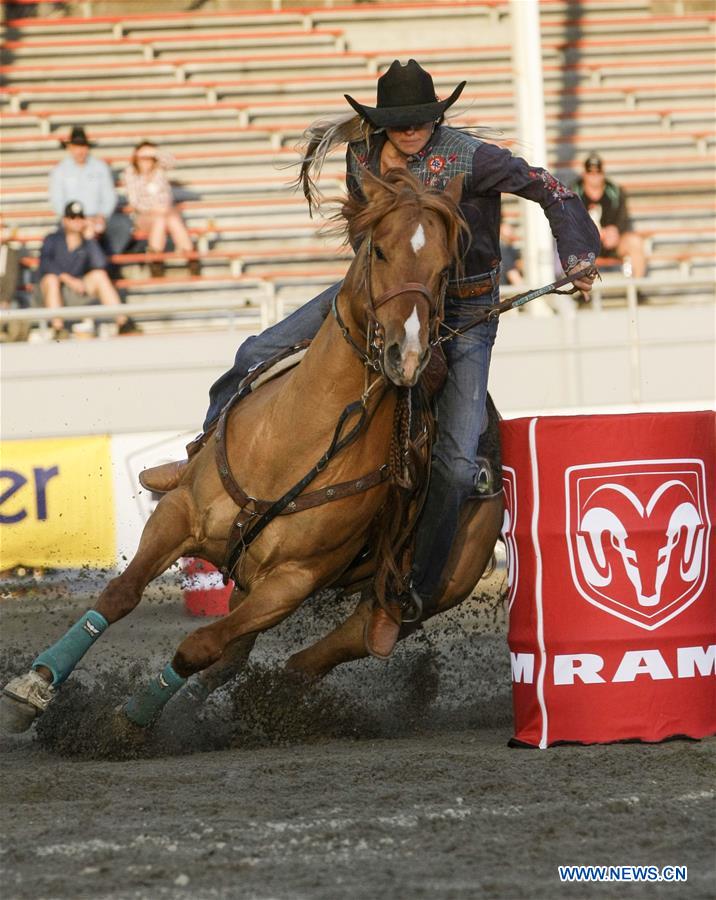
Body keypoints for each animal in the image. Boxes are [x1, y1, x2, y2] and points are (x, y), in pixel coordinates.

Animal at [1, 172, 504, 736]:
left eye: (444, 270)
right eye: (378, 250)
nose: (408, 354)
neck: (294, 439)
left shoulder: (290, 584)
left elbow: (197, 646)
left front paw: (131, 719)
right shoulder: (179, 516)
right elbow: (120, 596)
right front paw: (33, 686)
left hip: (412, 601)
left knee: (305, 660)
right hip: (245, 579)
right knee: (240, 658)